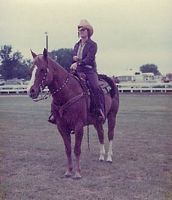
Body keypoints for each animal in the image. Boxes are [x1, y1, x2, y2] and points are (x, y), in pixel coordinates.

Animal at [27, 48, 119, 180]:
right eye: (31, 70)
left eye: (42, 69)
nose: (31, 91)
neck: (68, 93)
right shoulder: (61, 127)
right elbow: (68, 149)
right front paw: (68, 171)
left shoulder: (78, 126)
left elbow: (76, 149)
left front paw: (77, 173)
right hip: (97, 120)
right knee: (101, 134)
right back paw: (101, 156)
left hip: (112, 116)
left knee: (110, 135)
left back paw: (109, 157)